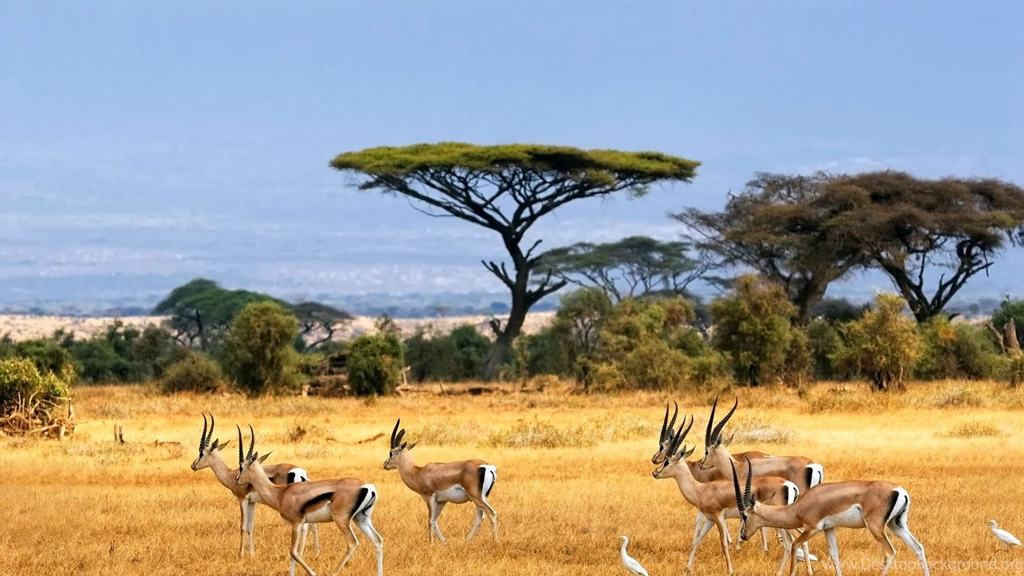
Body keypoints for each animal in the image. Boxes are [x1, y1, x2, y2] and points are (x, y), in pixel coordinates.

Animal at [190, 413, 320, 558]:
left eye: (201, 453)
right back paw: (316, 553)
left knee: (305, 526)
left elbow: (243, 526)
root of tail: (300, 472)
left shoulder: (243, 500)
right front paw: (252, 553)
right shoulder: (252, 502)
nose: (193, 465)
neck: (231, 474)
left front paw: (241, 554)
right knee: (313, 525)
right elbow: (250, 526)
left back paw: (302, 553)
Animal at [234, 425, 384, 576]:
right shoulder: (300, 524)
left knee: (352, 543)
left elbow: (293, 552)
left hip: (342, 520)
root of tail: (367, 486)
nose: (236, 480)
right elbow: (293, 555)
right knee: (378, 540)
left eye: (241, 467)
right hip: (361, 519)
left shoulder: (296, 523)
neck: (280, 493)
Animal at [732, 458, 930, 576]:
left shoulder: (812, 528)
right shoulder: (829, 529)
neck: (800, 505)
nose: (743, 535)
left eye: (744, 515)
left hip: (876, 527)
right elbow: (834, 555)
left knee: (890, 553)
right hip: (896, 525)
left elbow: (795, 545)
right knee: (918, 547)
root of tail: (900, 490)